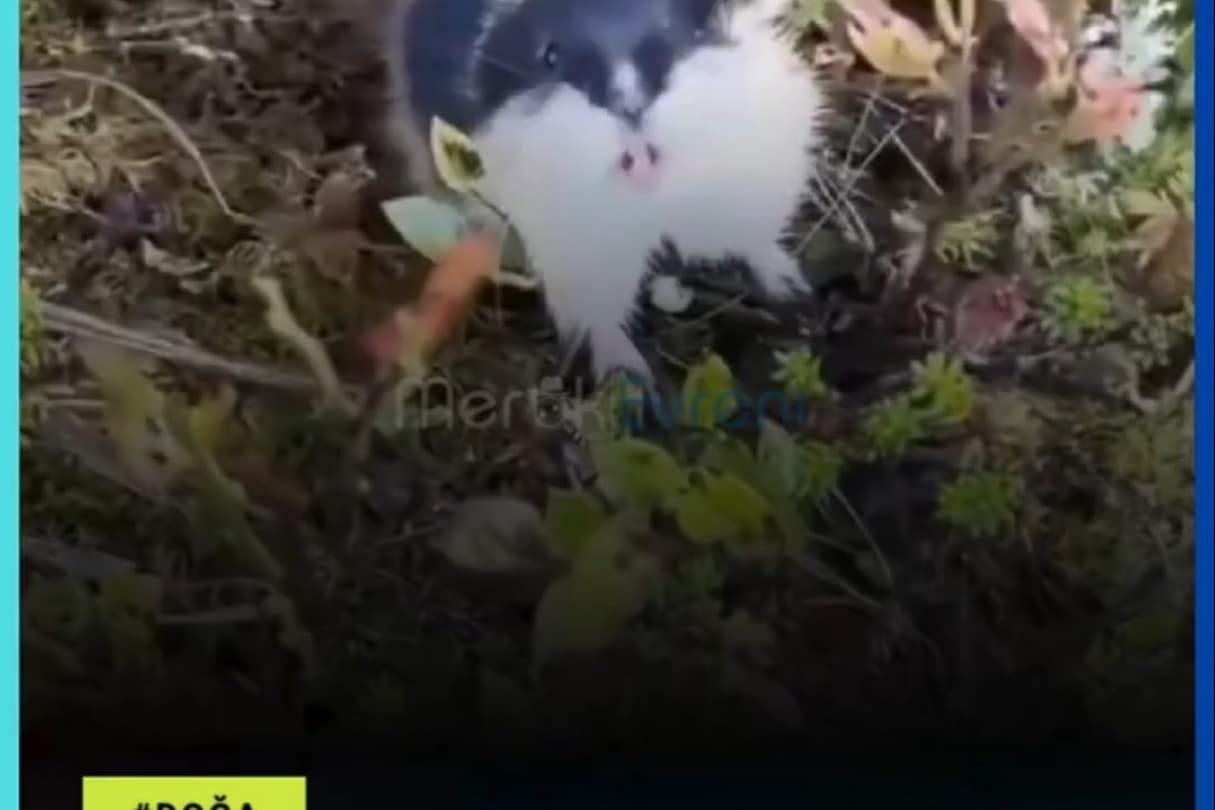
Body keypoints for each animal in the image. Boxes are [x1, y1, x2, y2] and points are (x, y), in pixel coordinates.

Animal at [374, 0, 826, 383]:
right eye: (550, 55)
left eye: (674, 26)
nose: (630, 107)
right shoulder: (574, 248)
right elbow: (602, 318)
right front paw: (630, 380)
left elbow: (754, 241)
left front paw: (796, 290)